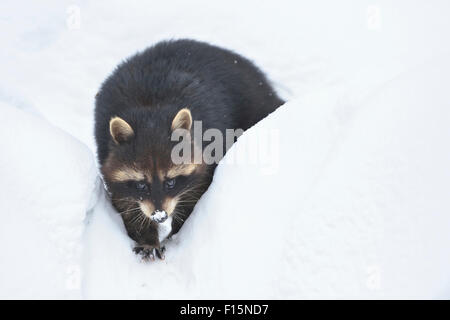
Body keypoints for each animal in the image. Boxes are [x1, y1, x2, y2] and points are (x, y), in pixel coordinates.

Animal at [95, 39, 284, 260]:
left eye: (170, 182)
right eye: (141, 184)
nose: (160, 216)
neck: (151, 109)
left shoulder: (207, 150)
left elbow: (195, 194)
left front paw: (177, 230)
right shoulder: (106, 151)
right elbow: (126, 202)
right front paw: (147, 236)